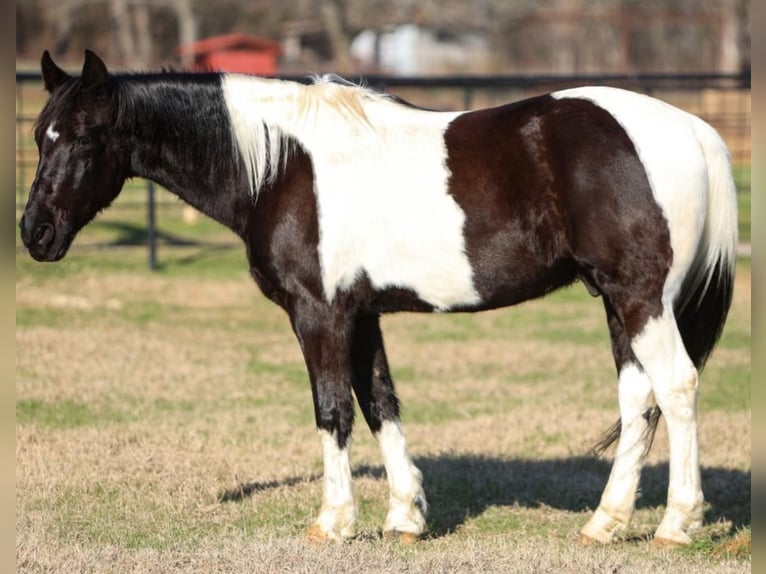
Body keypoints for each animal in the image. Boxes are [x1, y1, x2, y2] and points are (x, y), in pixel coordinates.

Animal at [19, 50, 737, 546]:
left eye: (82, 136)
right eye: (38, 136)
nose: (34, 233)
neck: (283, 165)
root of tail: (693, 130)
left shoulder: (318, 313)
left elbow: (332, 409)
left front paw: (334, 521)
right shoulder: (361, 314)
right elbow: (379, 403)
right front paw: (405, 518)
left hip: (641, 298)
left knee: (676, 387)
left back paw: (676, 524)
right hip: (618, 302)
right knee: (639, 400)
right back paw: (605, 524)